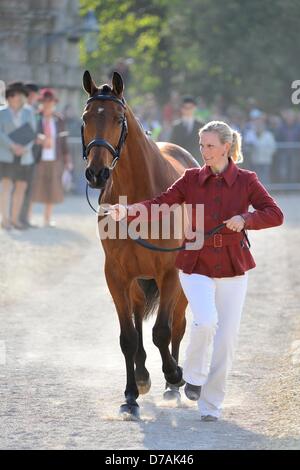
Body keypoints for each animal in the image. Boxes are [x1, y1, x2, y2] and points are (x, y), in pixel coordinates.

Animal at [81, 70, 200, 418]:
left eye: (119, 118)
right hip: (136, 281)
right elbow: (128, 338)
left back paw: (173, 386)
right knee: (137, 322)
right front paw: (131, 394)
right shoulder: (117, 275)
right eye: (85, 117)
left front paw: (175, 374)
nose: (96, 173)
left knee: (177, 325)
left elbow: (163, 331)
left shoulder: (170, 273)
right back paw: (144, 374)